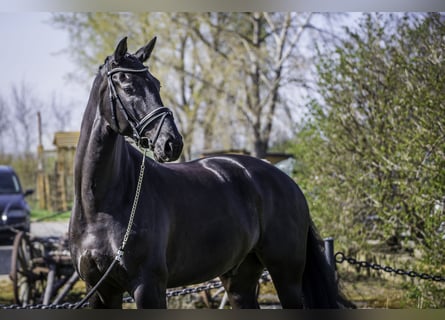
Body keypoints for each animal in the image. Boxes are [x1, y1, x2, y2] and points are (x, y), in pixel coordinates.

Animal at [69, 37, 346, 308]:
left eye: (156, 84)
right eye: (128, 88)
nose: (172, 142)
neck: (101, 206)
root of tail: (287, 181)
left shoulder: (149, 288)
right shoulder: (101, 292)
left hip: (286, 276)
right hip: (240, 279)